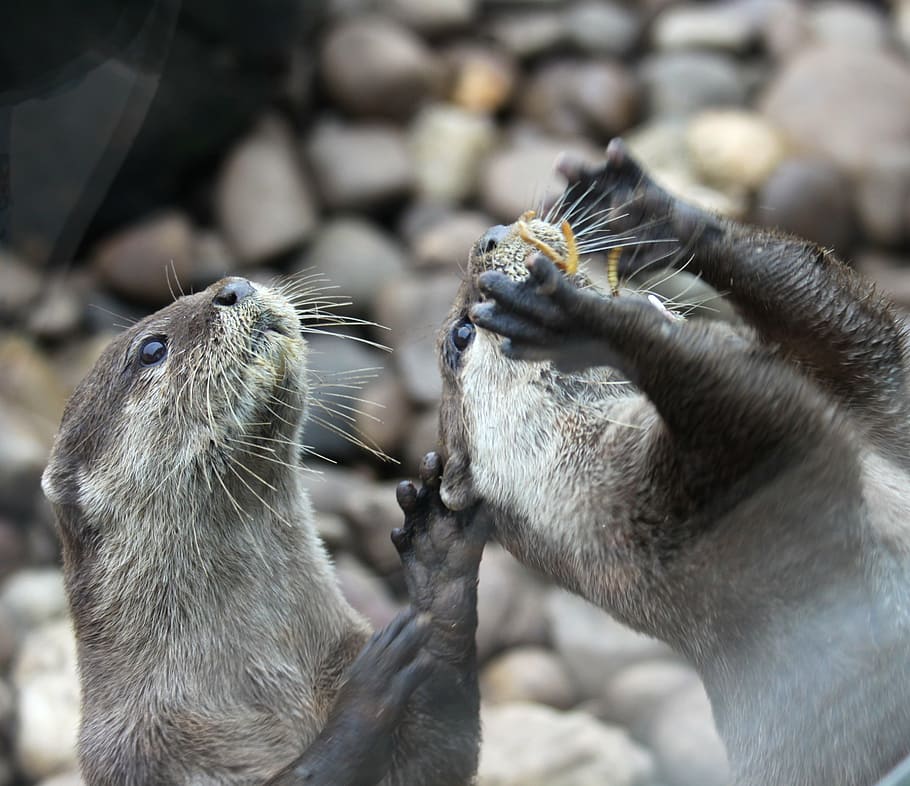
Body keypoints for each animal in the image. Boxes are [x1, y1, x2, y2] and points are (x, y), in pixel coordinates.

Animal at [41, 276, 486, 785]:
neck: (263, 679)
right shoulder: (143, 752)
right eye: (152, 349)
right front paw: (367, 691)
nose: (233, 287)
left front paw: (441, 562)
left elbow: (441, 753)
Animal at [437, 139, 910, 786]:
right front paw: (581, 323)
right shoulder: (700, 515)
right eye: (461, 335)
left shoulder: (877, 399)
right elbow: (766, 418)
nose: (486, 237)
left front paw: (644, 208)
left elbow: (858, 335)